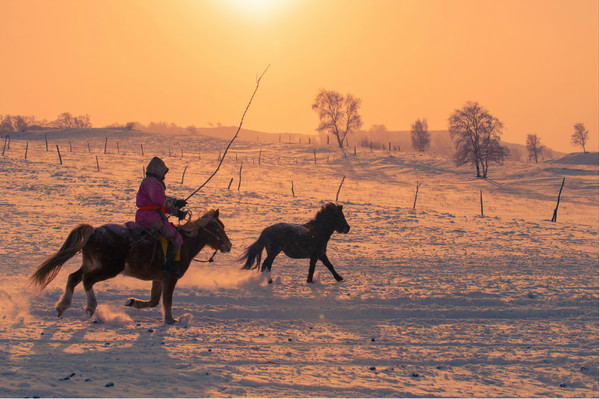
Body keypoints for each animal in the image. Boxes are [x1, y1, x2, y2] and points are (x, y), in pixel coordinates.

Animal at [29, 209, 232, 324]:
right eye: (218, 228)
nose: (228, 245)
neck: (185, 243)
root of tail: (94, 232)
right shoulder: (170, 278)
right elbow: (166, 301)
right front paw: (169, 320)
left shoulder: (158, 279)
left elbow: (154, 301)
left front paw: (133, 302)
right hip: (109, 268)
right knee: (87, 280)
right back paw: (91, 307)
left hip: (90, 264)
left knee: (73, 277)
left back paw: (62, 306)